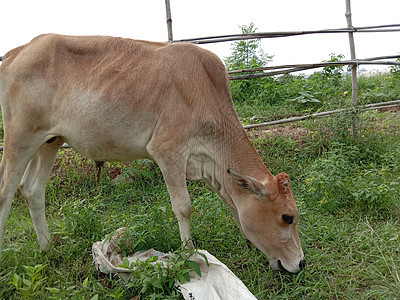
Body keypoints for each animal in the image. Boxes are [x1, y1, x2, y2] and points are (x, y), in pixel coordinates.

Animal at [0, 34, 304, 274]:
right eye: (287, 217)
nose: (300, 263)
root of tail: (19, 51)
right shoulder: (168, 151)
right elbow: (183, 207)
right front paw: (189, 253)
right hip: (19, 137)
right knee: (6, 192)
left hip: (49, 141)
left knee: (33, 190)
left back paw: (47, 249)